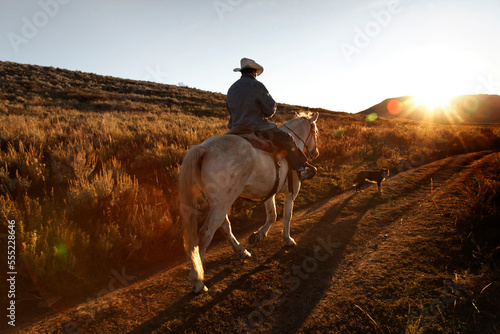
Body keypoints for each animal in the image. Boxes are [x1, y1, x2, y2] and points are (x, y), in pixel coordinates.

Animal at [179, 113, 320, 292]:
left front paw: (257, 236)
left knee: (225, 226)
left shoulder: (270, 193)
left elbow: (272, 215)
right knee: (206, 232)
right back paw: (197, 280)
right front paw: (287, 239)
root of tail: (203, 148)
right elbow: (287, 216)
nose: (315, 153)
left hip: (220, 203)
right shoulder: (291, 193)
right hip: (221, 203)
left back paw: (241, 251)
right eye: (315, 132)